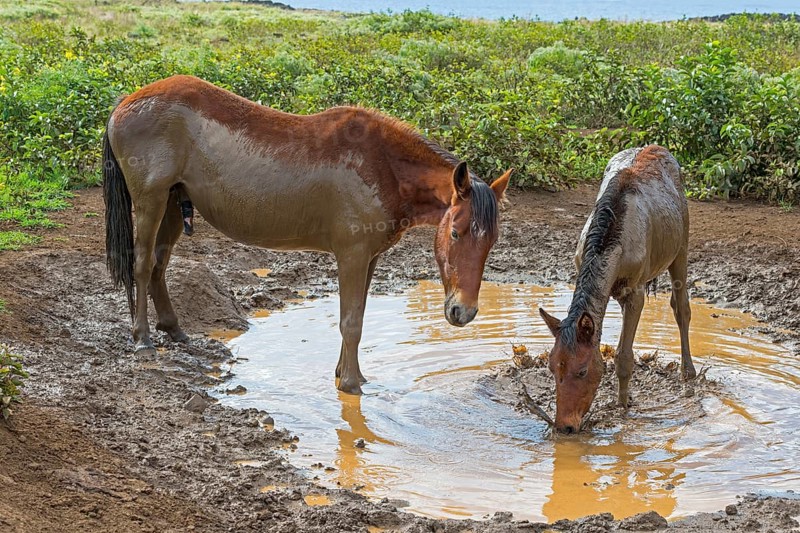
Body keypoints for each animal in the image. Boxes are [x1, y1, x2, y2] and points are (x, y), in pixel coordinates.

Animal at [103, 75, 511, 395]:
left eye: (490, 242)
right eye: (456, 233)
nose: (464, 312)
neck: (384, 166)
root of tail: (126, 103)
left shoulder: (369, 258)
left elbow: (358, 315)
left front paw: (346, 373)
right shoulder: (351, 255)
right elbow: (350, 322)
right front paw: (351, 384)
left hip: (173, 204)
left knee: (158, 265)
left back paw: (174, 330)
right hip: (151, 201)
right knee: (142, 265)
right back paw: (143, 340)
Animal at [538, 145, 696, 433]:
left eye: (582, 371)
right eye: (552, 368)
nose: (565, 427)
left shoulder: (636, 293)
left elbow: (624, 357)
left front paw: (622, 408)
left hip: (681, 248)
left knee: (681, 308)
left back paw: (688, 372)